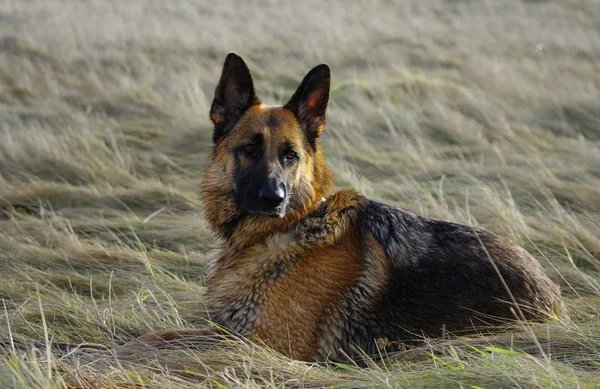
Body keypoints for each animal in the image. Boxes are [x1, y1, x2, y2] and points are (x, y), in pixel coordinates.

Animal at [131, 53, 568, 362]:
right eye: (249, 149)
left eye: (290, 156)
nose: (274, 199)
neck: (284, 230)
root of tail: (552, 293)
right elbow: (158, 335)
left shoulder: (262, 343)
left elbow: (167, 340)